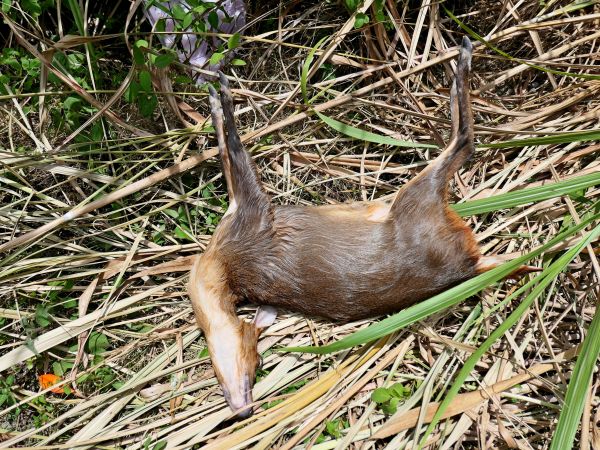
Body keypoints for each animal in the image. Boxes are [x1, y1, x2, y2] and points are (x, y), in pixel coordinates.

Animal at [191, 37, 520, 418]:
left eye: (256, 364)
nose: (244, 408)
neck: (221, 262)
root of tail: (468, 262)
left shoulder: (251, 214)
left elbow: (231, 155)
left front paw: (218, 93)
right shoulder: (249, 218)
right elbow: (233, 157)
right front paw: (219, 95)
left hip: (414, 201)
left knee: (465, 143)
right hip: (418, 201)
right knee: (464, 145)